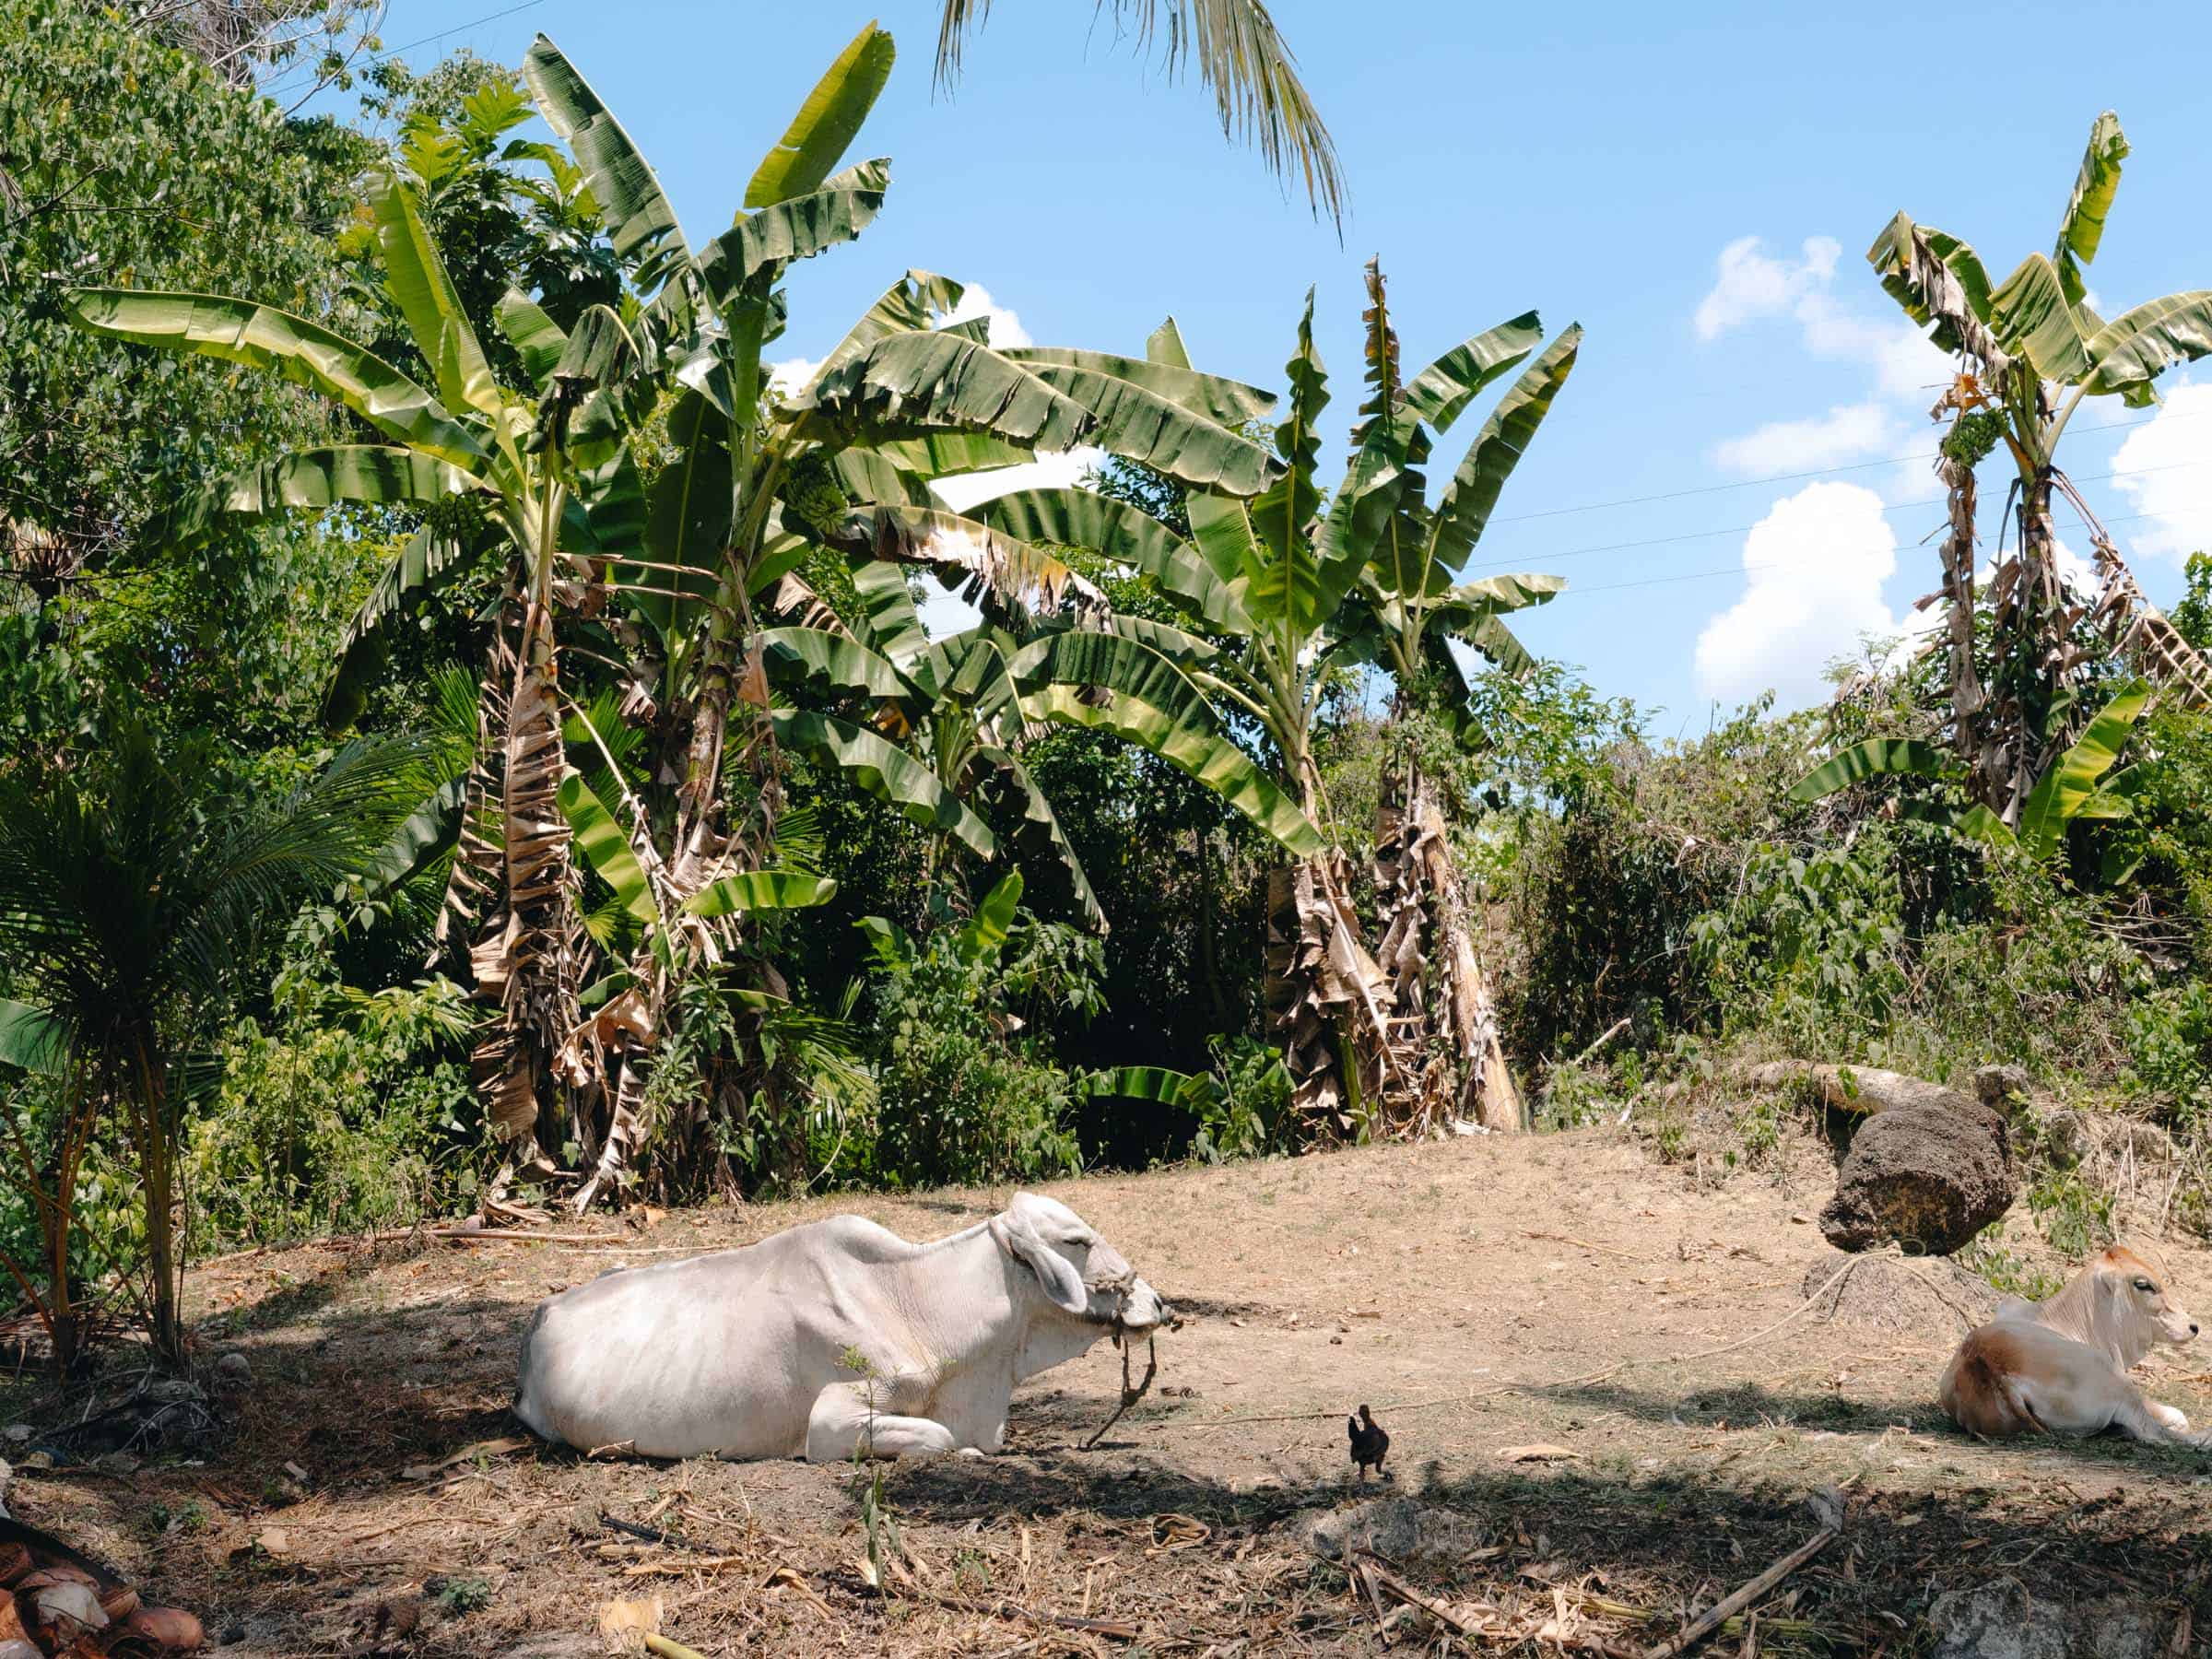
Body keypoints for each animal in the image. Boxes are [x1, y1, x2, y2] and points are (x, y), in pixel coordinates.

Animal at [1939, 1244, 2205, 1448]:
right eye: (2143, 1284)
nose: (2193, 1327)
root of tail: (1988, 1365)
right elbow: (2175, 1415)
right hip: (2118, 1385)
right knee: (2154, 1432)